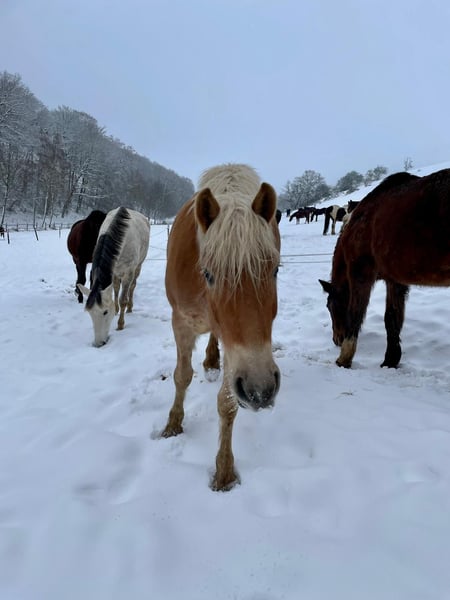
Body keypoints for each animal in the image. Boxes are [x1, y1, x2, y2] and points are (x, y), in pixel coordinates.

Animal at [78, 206, 150, 347]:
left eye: (105, 312)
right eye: (90, 313)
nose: (98, 343)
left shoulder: (128, 273)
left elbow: (123, 299)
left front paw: (120, 325)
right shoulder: (114, 272)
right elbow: (115, 291)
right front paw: (116, 309)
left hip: (138, 266)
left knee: (132, 287)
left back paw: (130, 307)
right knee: (116, 288)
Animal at [162, 163, 281, 491]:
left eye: (275, 270)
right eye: (208, 274)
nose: (261, 390)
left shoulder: (239, 353)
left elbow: (227, 403)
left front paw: (224, 471)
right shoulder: (181, 323)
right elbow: (181, 377)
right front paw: (173, 424)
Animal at [317, 169, 450, 369]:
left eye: (329, 306)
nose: (336, 340)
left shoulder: (360, 274)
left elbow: (355, 314)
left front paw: (344, 358)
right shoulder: (395, 281)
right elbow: (391, 319)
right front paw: (390, 360)